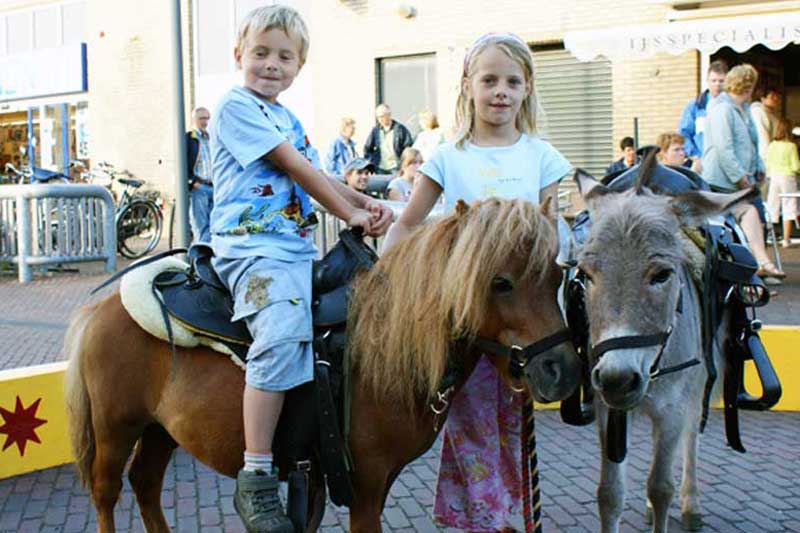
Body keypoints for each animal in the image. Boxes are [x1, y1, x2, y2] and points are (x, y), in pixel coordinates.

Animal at [65, 197, 580, 528]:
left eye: (558, 275)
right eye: (500, 282)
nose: (561, 371)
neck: (383, 347)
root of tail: (100, 309)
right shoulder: (365, 487)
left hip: (160, 430)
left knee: (146, 484)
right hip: (116, 429)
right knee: (106, 492)